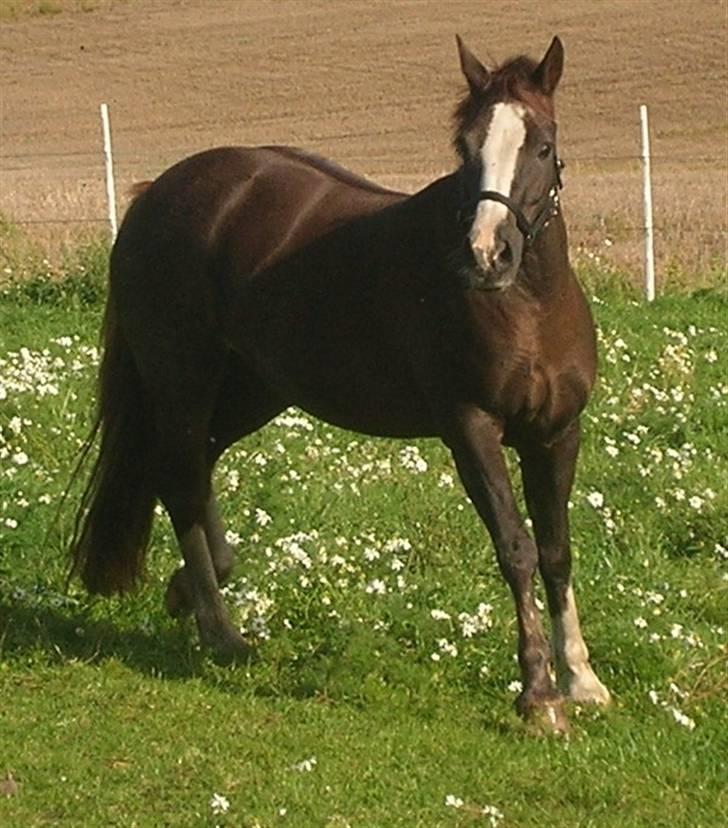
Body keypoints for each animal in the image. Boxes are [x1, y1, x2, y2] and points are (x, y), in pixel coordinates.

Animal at [72, 37, 608, 732]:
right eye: (465, 147)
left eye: (542, 145)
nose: (487, 255)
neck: (529, 304)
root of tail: (156, 193)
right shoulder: (471, 430)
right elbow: (517, 547)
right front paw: (539, 694)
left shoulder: (557, 433)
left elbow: (556, 550)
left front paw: (582, 679)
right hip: (183, 378)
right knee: (182, 478)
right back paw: (221, 631)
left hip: (253, 388)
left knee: (194, 466)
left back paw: (192, 590)